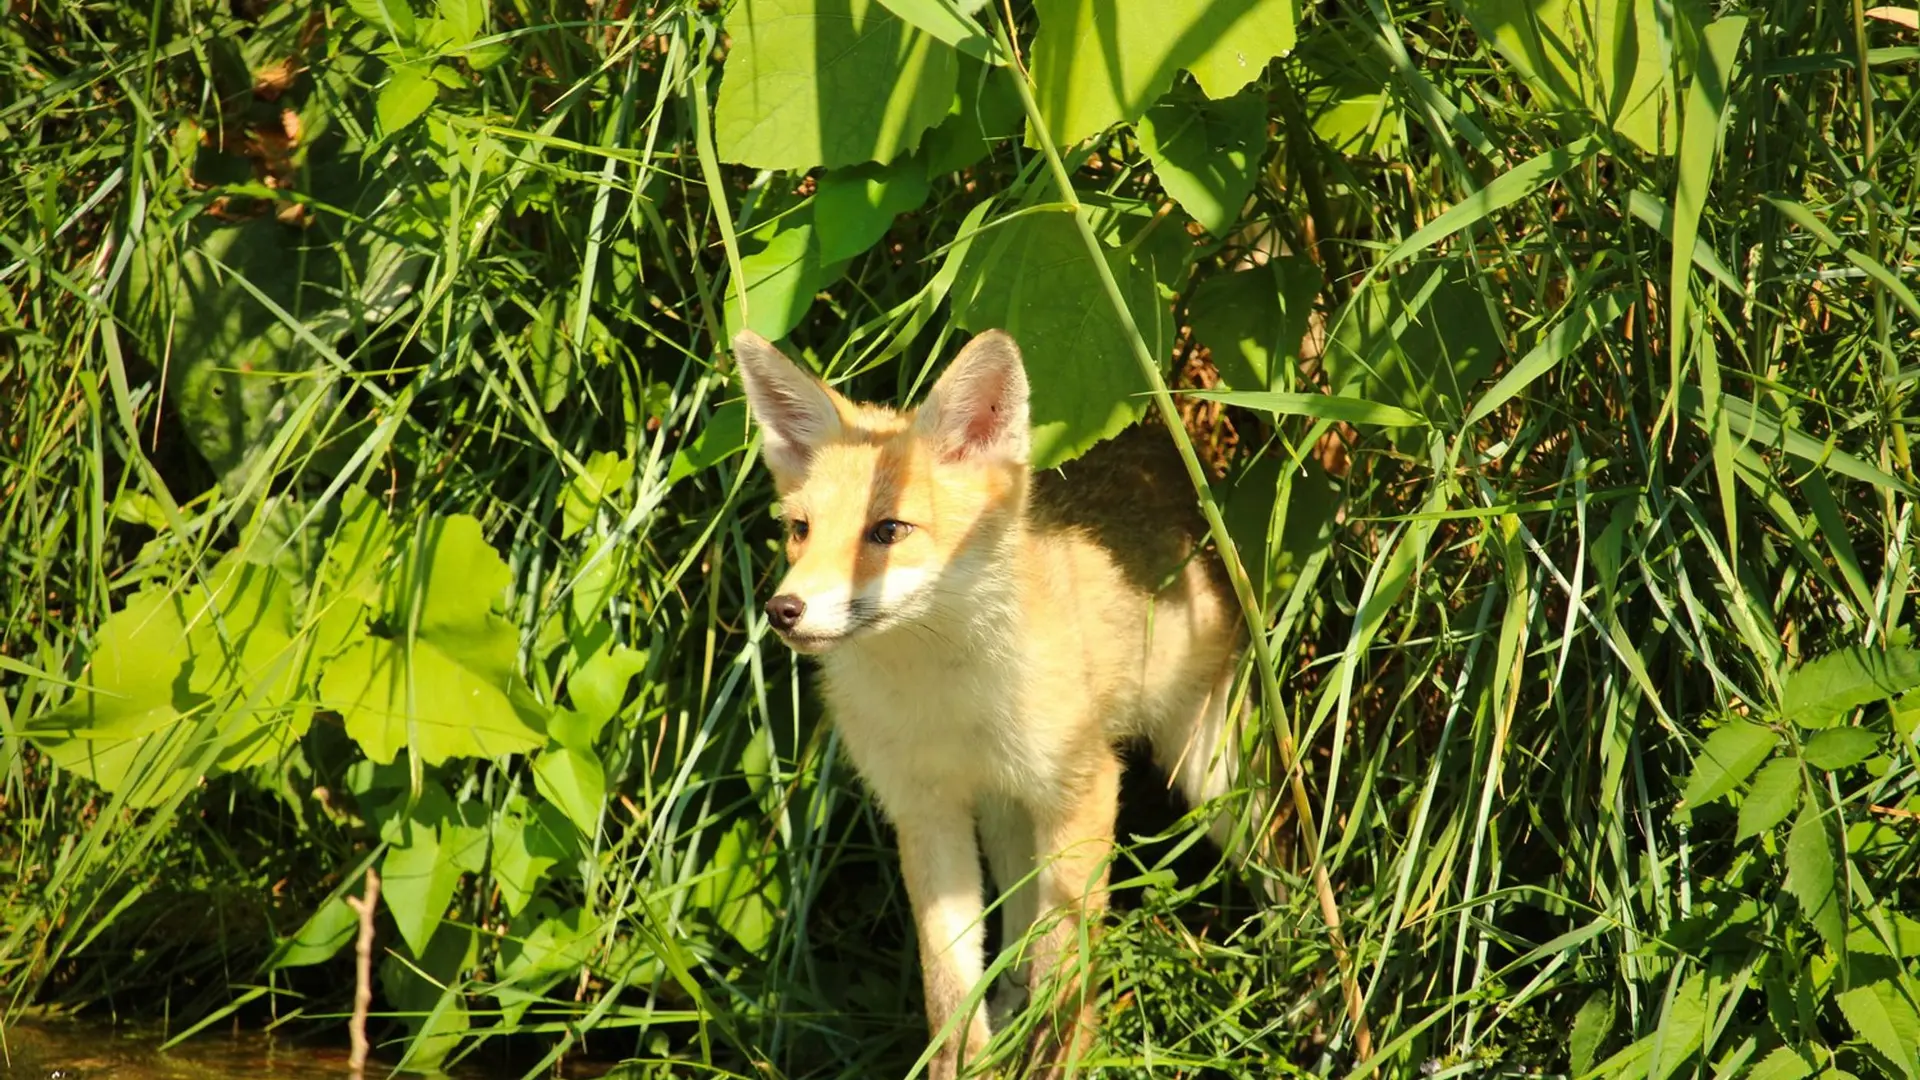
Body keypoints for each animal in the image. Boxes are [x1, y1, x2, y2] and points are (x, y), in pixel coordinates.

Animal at [732, 327, 1254, 1079]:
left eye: (887, 532)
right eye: (800, 529)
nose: (783, 610)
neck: (943, 704)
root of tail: (1162, 445)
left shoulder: (1082, 787)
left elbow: (1067, 975)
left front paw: (1058, 1059)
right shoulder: (923, 810)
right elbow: (948, 989)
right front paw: (970, 1058)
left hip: (1210, 775)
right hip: (1010, 813)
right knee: (1013, 933)